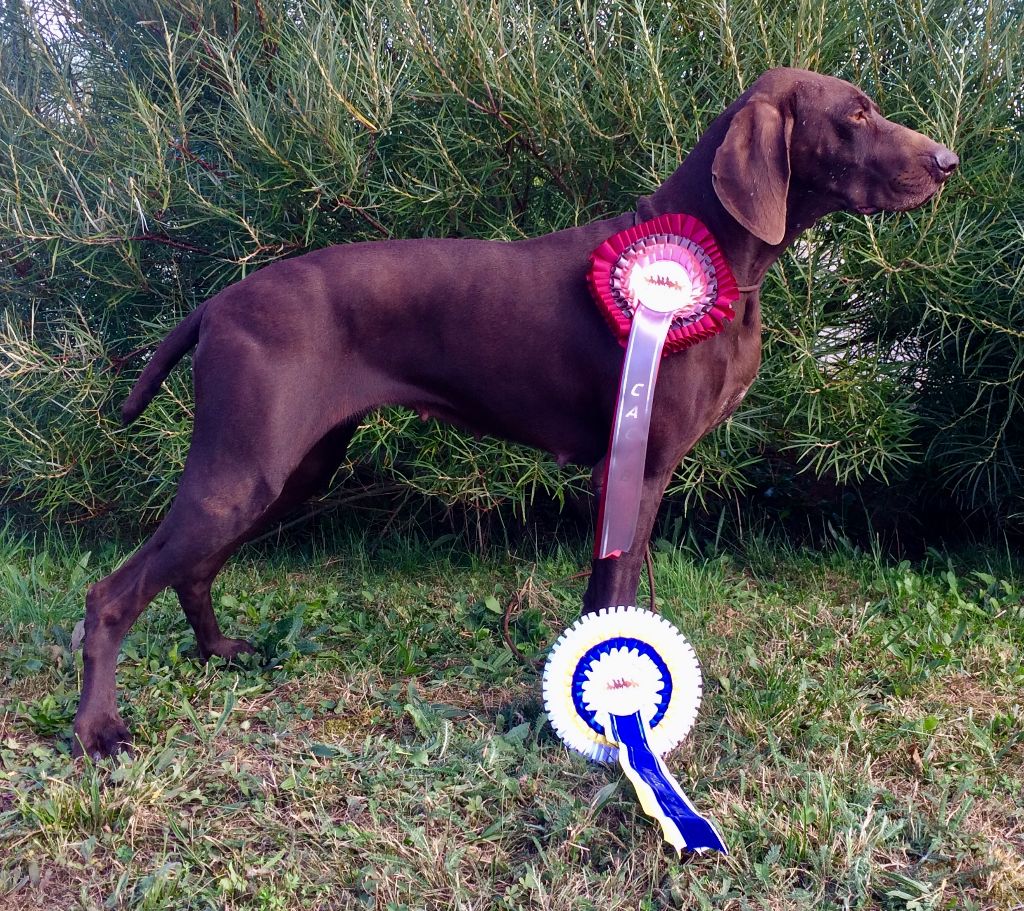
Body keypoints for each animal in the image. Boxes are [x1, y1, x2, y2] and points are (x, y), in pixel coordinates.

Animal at [70, 67, 950, 757]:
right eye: (857, 114)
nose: (947, 162)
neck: (712, 256)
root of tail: (216, 303)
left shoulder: (646, 472)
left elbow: (627, 587)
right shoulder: (630, 466)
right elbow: (609, 589)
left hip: (289, 471)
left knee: (193, 568)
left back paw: (219, 650)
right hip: (245, 469)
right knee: (111, 594)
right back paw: (97, 728)